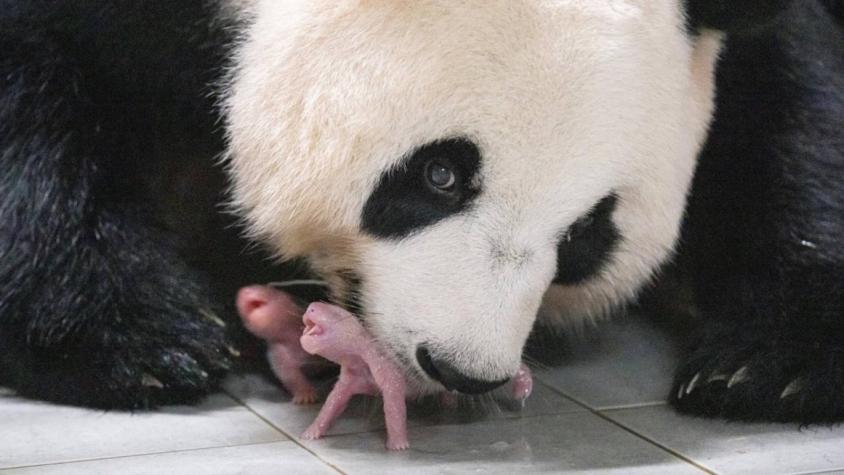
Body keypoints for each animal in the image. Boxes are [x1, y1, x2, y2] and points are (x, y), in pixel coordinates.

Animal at [1, 0, 842, 423]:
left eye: (586, 234)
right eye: (441, 174)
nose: (462, 368)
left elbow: (791, 103)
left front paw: (771, 364)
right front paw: (139, 337)